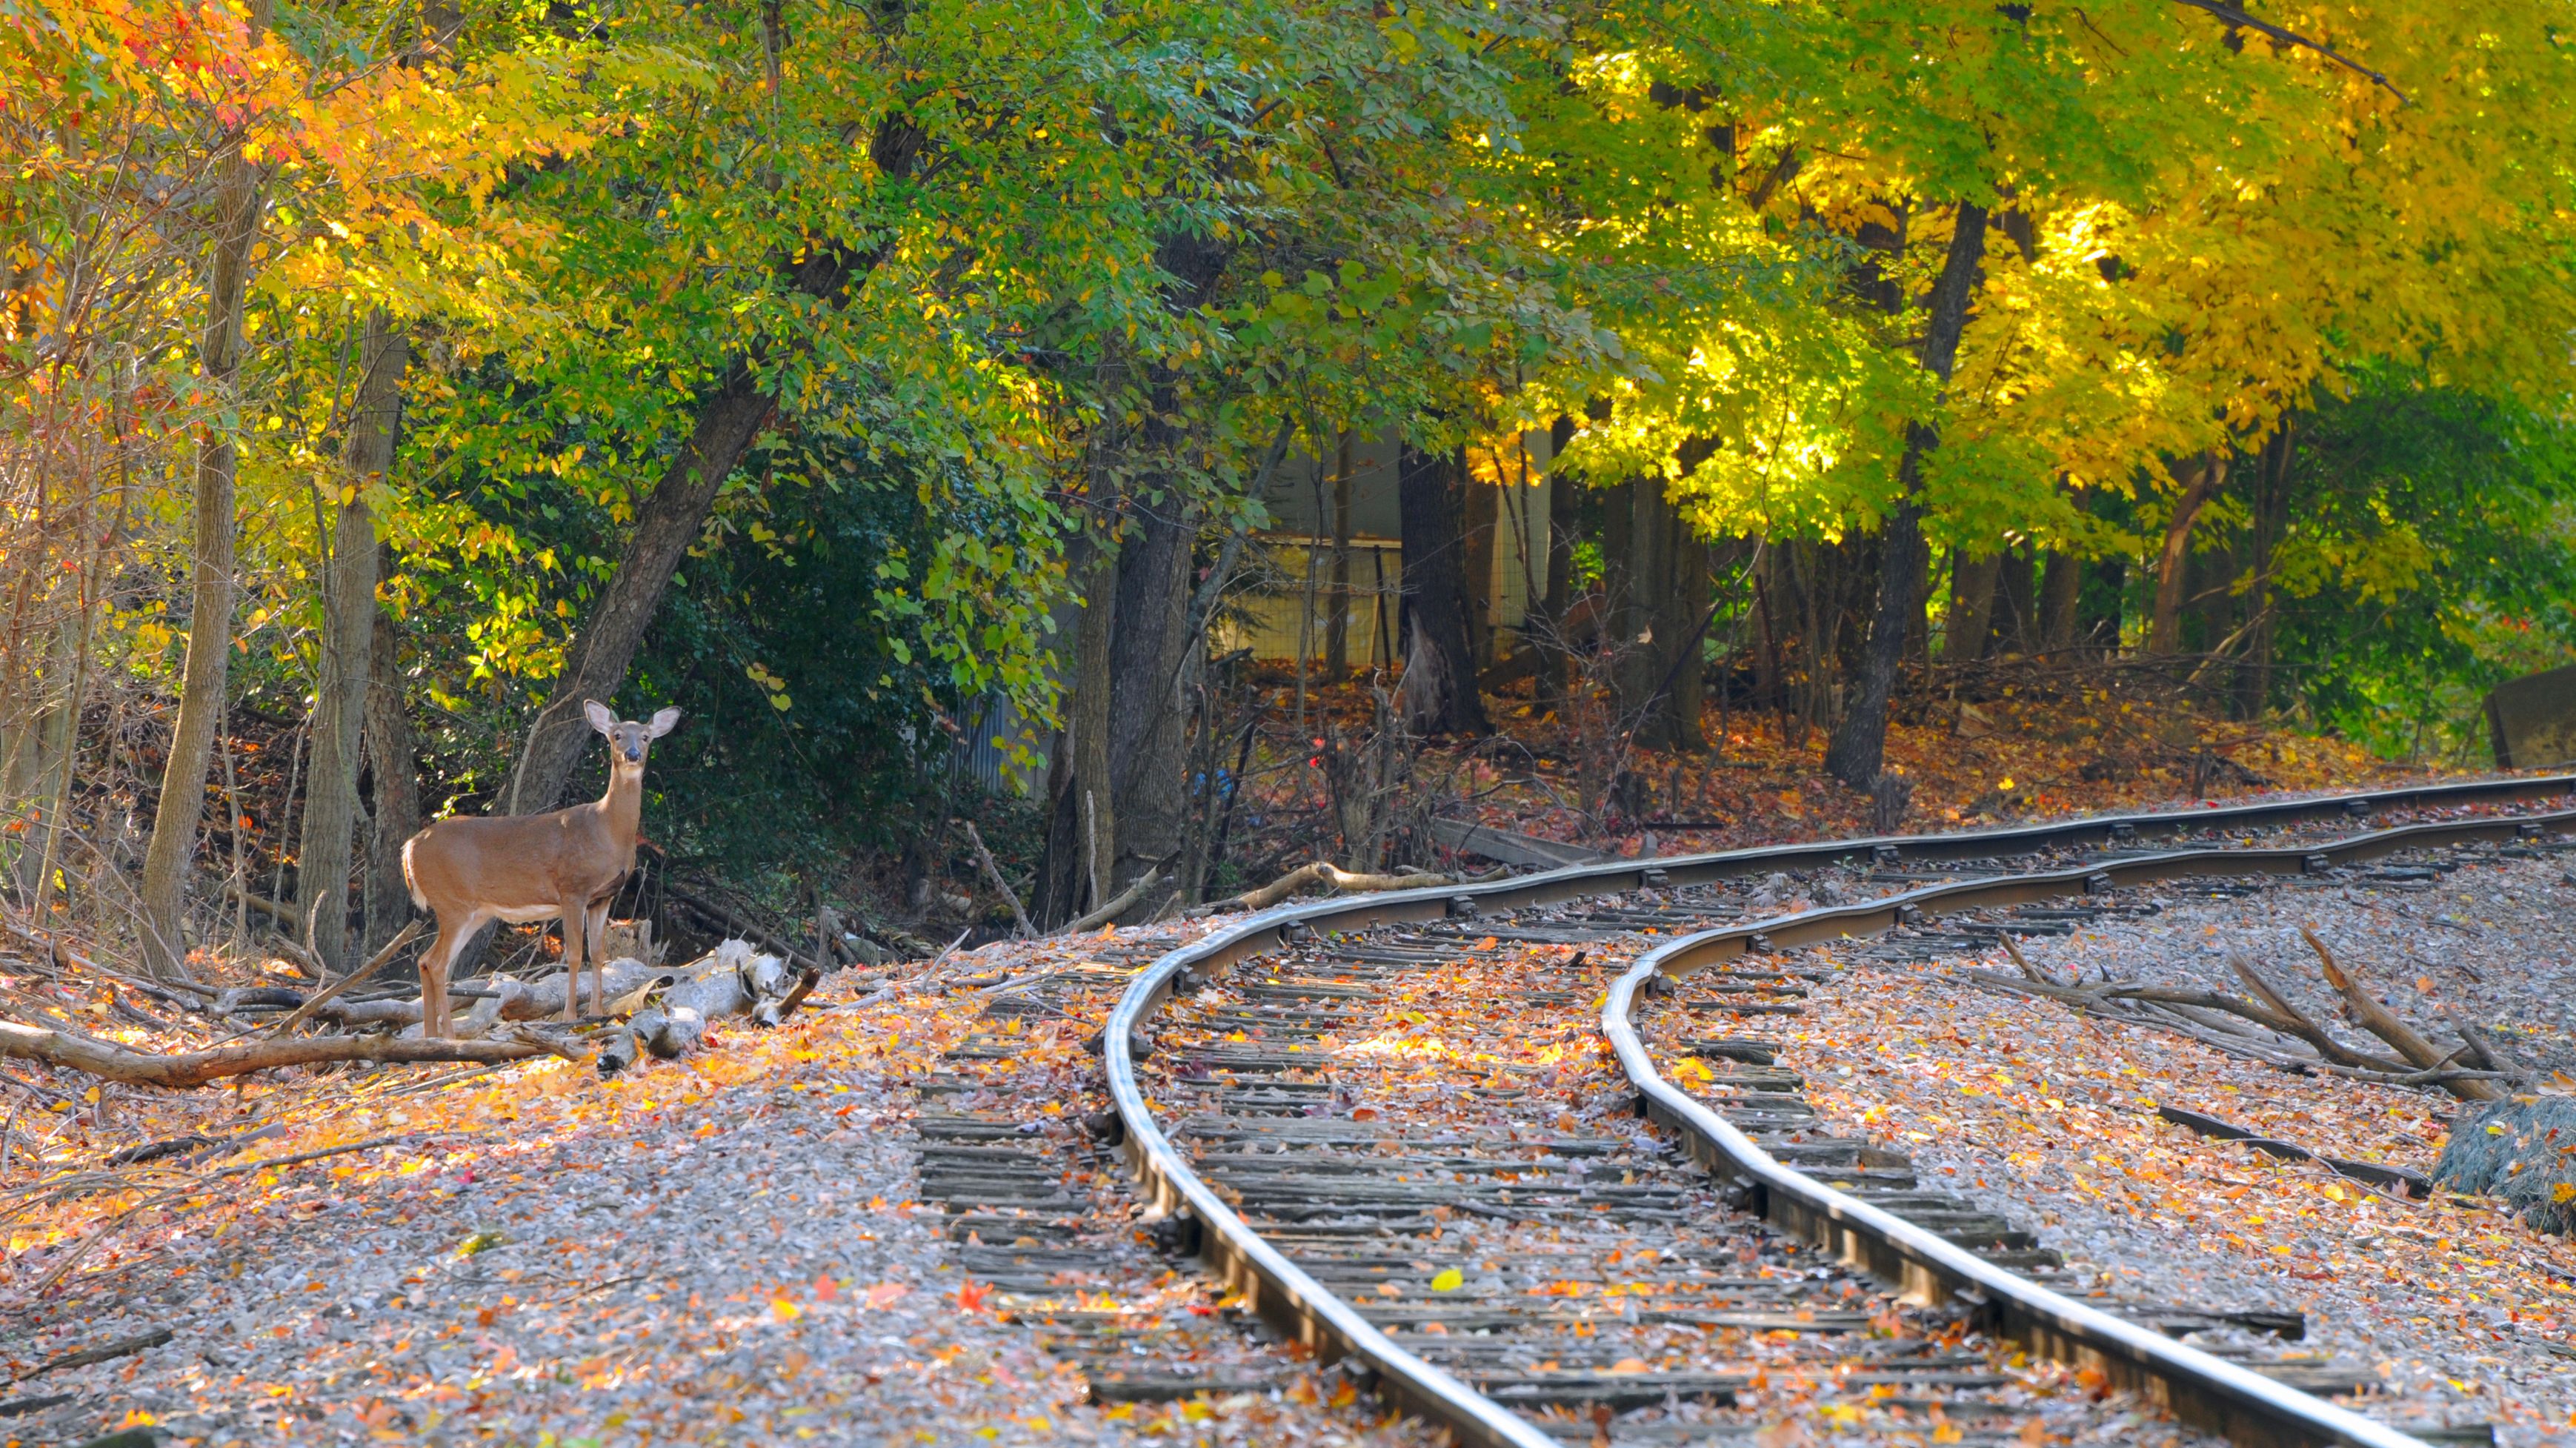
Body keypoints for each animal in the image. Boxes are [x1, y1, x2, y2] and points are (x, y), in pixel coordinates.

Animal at [401, 702, 680, 1037]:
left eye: (647, 736)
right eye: (617, 735)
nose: (633, 754)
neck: (608, 831)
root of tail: (410, 847)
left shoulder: (603, 897)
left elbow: (599, 955)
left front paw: (597, 1013)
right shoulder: (572, 888)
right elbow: (575, 955)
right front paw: (570, 1015)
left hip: (473, 911)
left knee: (425, 960)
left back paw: (431, 1036)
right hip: (451, 901)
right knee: (438, 963)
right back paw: (450, 1037)